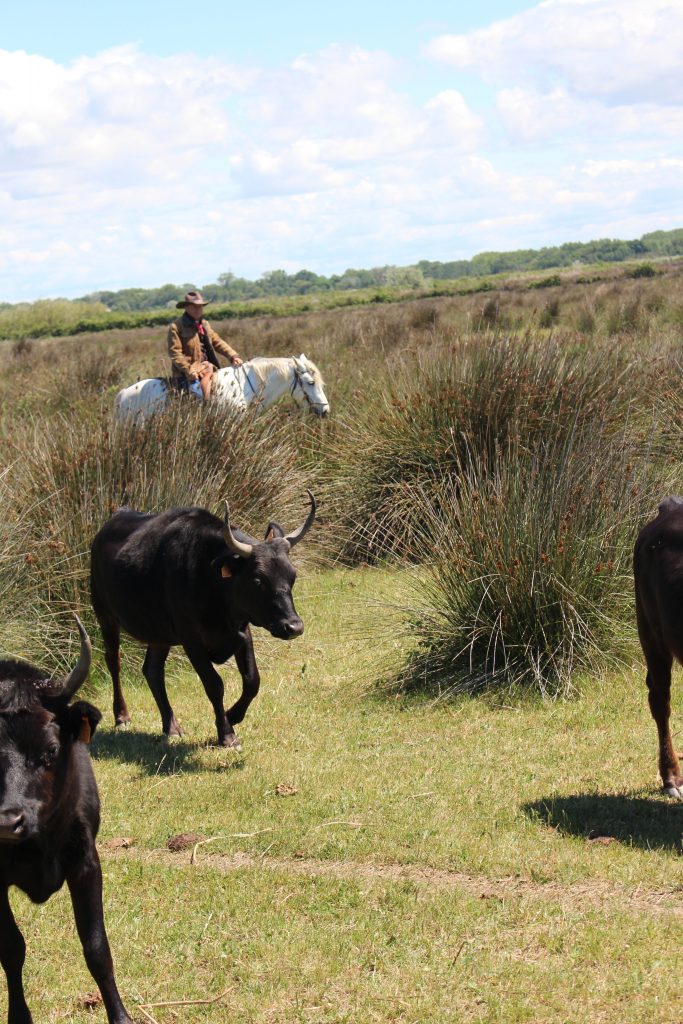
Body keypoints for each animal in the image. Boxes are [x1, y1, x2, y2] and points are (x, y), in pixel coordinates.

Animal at [0, 614, 132, 1024]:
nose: (7, 821)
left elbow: (97, 948)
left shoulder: (86, 861)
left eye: (51, 749)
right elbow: (12, 949)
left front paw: (121, 1016)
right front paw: (19, 1017)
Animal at [89, 491, 317, 749]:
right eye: (258, 580)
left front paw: (232, 715)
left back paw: (172, 726)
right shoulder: (192, 640)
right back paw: (122, 716)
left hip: (159, 633)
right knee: (114, 662)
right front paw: (226, 733)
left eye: (292, 576)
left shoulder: (242, 631)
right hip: (105, 616)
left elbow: (252, 680)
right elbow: (214, 684)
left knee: (152, 670)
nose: (293, 626)